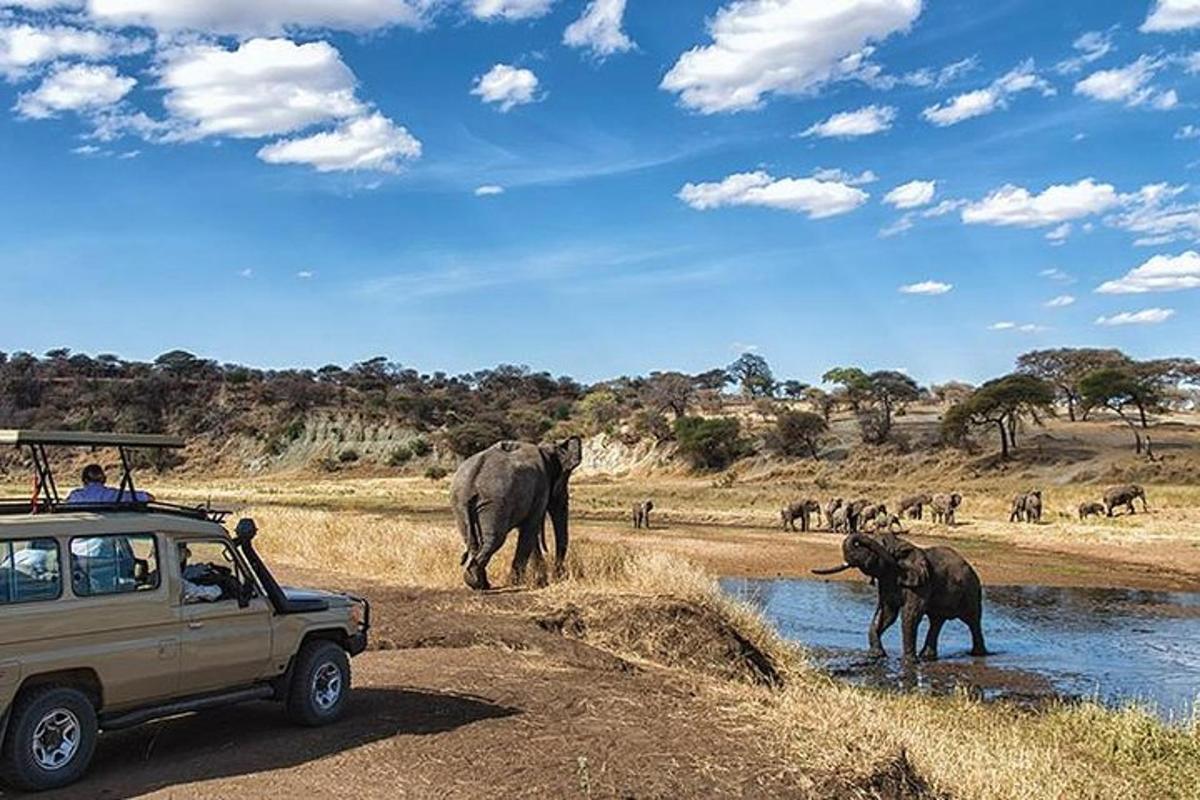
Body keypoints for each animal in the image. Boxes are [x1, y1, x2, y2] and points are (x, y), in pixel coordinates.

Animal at [451, 434, 580, 592]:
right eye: (563, 480)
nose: (559, 576)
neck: (545, 448)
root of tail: (471, 480)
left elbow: (529, 532)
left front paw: (538, 582)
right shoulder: (541, 486)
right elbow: (530, 529)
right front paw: (523, 583)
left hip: (460, 503)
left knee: (473, 542)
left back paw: (480, 584)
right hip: (495, 502)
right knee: (495, 540)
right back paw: (477, 582)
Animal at [811, 534, 988, 662]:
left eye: (875, 546)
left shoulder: (922, 583)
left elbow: (910, 614)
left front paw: (909, 662)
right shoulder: (886, 580)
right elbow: (887, 614)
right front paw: (876, 655)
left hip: (971, 591)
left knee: (972, 621)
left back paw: (978, 655)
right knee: (937, 621)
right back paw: (928, 657)